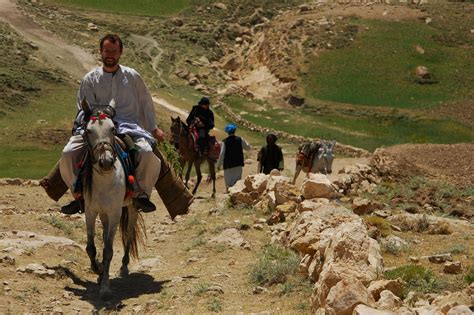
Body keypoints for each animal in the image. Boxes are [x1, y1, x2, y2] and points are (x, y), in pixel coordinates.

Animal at [80, 99, 144, 302]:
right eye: (88, 130)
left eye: (113, 129)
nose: (106, 162)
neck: (105, 180)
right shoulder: (91, 210)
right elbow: (91, 247)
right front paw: (98, 270)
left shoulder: (116, 212)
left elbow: (108, 250)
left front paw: (105, 288)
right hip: (103, 213)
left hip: (131, 208)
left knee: (129, 234)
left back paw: (124, 267)